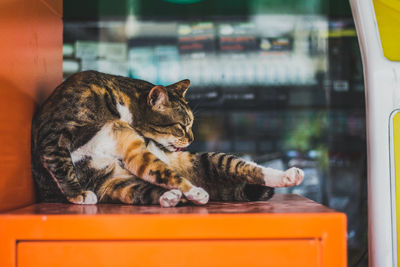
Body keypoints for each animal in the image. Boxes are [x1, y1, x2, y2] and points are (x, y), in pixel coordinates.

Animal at [31, 71, 304, 209]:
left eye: (191, 125)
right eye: (182, 126)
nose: (192, 138)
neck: (116, 106)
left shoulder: (134, 149)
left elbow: (164, 171)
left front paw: (193, 192)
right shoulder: (53, 134)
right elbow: (61, 165)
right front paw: (78, 194)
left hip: (203, 160)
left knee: (247, 168)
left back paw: (288, 176)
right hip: (115, 182)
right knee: (144, 189)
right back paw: (172, 196)